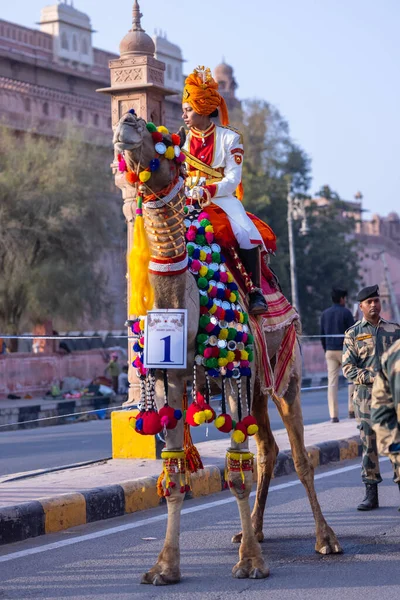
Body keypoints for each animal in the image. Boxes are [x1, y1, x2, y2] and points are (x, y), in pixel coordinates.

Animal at [112, 109, 340, 584]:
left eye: (165, 139)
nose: (129, 118)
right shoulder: (173, 380)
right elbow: (175, 473)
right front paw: (164, 567)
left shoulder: (234, 370)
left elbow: (236, 474)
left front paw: (251, 563)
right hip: (258, 385)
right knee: (268, 450)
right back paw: (251, 530)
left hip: (285, 376)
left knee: (300, 456)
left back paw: (325, 538)